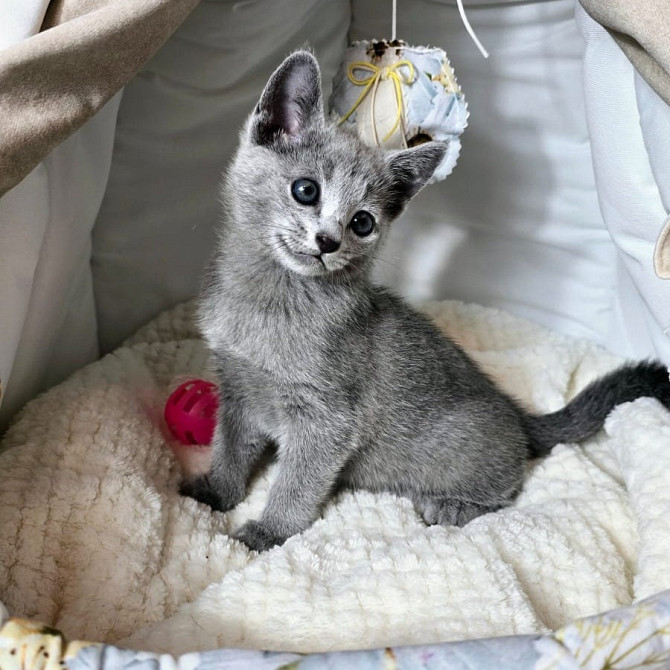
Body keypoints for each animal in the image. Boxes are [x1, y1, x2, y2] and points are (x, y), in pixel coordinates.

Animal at [181, 52, 670, 552]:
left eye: (362, 223)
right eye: (306, 190)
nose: (328, 241)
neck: (270, 297)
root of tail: (514, 411)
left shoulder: (326, 418)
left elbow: (298, 481)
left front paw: (269, 531)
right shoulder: (237, 389)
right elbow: (230, 446)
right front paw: (217, 491)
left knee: (511, 485)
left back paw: (451, 505)